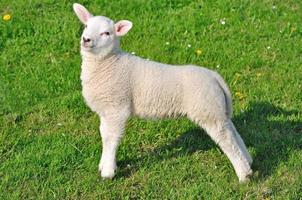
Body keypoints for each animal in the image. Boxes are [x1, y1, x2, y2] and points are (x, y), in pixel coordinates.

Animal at [72, 2, 252, 183]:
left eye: (106, 33)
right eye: (86, 26)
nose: (86, 39)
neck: (110, 62)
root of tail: (215, 77)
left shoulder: (117, 108)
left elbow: (112, 138)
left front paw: (108, 172)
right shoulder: (106, 110)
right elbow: (104, 134)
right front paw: (105, 165)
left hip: (208, 110)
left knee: (227, 140)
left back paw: (244, 174)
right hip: (217, 109)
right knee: (232, 131)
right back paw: (248, 160)